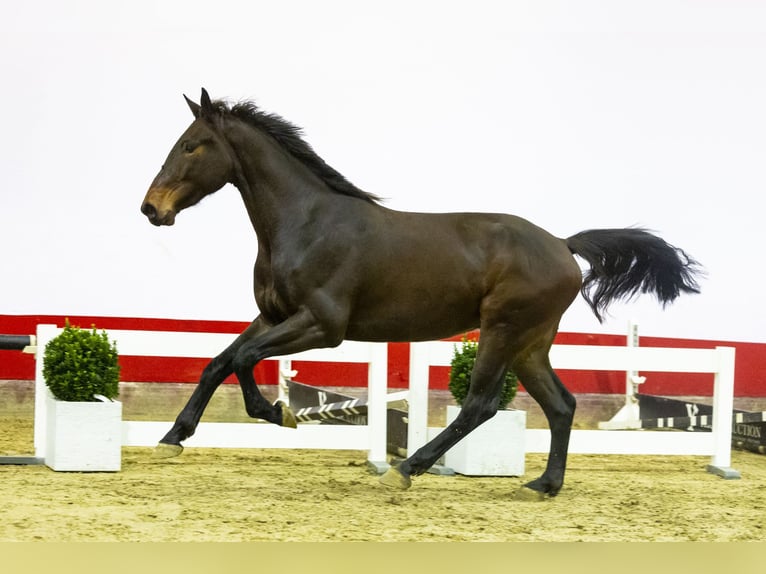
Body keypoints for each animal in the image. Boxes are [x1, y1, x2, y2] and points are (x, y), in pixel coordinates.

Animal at [142, 88, 704, 498]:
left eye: (191, 144)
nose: (151, 208)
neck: (308, 223)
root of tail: (564, 245)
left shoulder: (323, 326)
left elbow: (245, 360)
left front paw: (278, 415)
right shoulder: (272, 315)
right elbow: (218, 362)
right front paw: (172, 439)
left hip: (503, 330)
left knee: (480, 405)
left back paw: (408, 468)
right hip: (530, 343)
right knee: (561, 405)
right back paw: (543, 485)